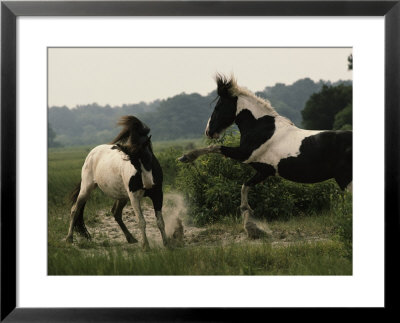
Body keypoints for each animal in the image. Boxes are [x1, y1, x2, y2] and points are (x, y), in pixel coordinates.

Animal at [67, 116, 167, 251]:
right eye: (133, 162)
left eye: (148, 157)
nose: (147, 184)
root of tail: (92, 153)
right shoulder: (134, 196)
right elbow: (141, 221)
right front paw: (146, 246)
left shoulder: (158, 194)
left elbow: (160, 221)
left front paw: (168, 243)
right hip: (86, 189)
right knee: (75, 210)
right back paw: (69, 239)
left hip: (122, 196)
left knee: (116, 213)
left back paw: (131, 238)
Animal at [180, 75, 352, 238]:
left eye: (218, 106)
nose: (208, 131)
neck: (261, 128)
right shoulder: (264, 171)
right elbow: (245, 186)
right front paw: (251, 225)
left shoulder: (244, 154)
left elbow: (216, 148)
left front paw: (186, 157)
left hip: (344, 179)